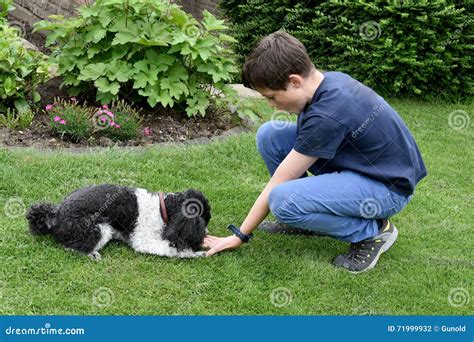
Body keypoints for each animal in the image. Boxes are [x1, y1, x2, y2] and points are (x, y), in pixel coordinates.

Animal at [25, 184, 210, 260]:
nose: (207, 233)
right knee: (71, 247)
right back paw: (91, 254)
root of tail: (55, 216)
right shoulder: (143, 241)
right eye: (205, 220)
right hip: (98, 228)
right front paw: (193, 253)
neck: (161, 208)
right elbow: (172, 249)